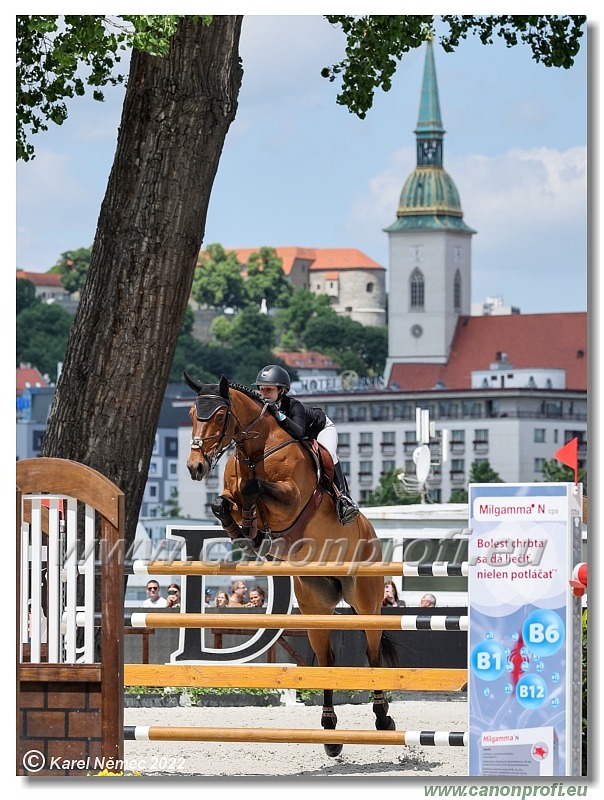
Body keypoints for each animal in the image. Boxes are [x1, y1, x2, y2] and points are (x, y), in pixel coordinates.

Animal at [186, 376, 398, 756]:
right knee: (326, 660)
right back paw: (330, 732)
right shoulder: (231, 496)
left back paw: (382, 718)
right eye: (193, 414)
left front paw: (253, 526)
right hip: (315, 605)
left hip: (367, 601)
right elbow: (224, 503)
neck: (254, 451)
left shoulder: (290, 499)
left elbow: (254, 487)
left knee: (373, 654)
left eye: (220, 415)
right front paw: (248, 535)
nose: (195, 467)